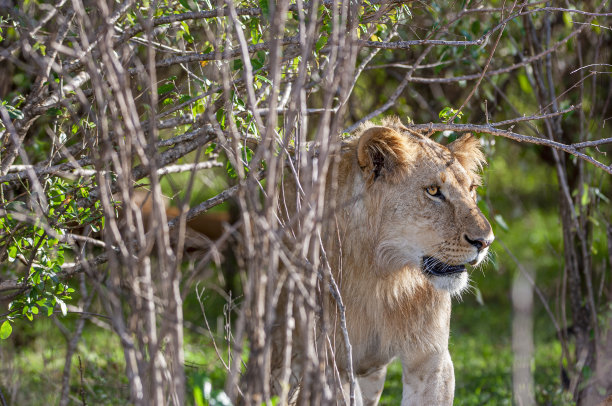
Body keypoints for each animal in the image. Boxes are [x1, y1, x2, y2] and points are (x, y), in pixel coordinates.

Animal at [274, 116, 494, 404]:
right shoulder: (332, 362)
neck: (382, 275)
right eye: (433, 190)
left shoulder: (432, 359)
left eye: (471, 189)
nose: (486, 242)